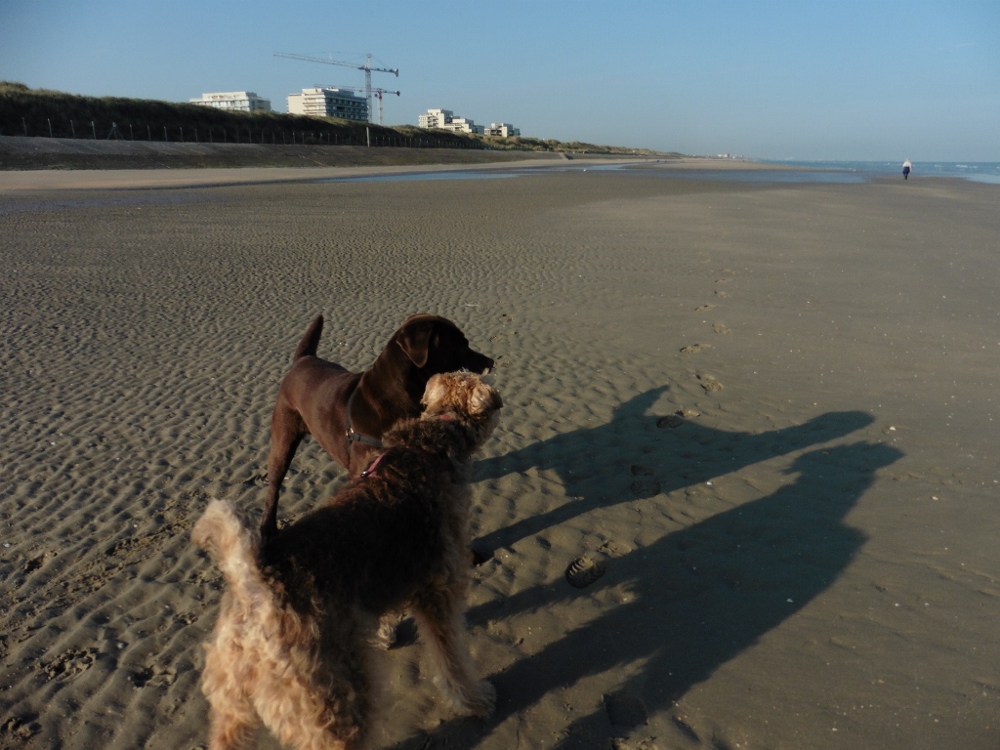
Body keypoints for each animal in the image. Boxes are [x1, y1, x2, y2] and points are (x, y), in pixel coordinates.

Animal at [193, 371, 503, 750]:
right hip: (336, 703)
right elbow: (452, 660)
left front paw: (384, 634)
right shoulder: (440, 592)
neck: (431, 441)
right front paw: (476, 701)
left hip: (231, 705)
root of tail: (254, 585)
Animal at [261, 314, 494, 543]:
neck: (396, 396)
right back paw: (267, 527)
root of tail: (304, 359)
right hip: (283, 437)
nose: (491, 361)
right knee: (274, 483)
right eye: (461, 345)